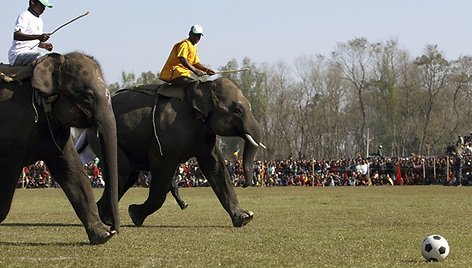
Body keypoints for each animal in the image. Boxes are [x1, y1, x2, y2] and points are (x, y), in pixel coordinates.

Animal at [0, 52, 120, 245]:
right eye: (87, 96)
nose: (113, 229)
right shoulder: (12, 129)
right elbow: (7, 174)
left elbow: (73, 170)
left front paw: (102, 236)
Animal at [82, 76, 264, 227]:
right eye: (237, 110)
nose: (244, 184)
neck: (203, 87)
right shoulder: (166, 134)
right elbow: (162, 169)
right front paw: (134, 214)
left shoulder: (204, 132)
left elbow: (215, 167)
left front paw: (245, 217)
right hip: (101, 137)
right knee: (123, 172)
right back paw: (105, 218)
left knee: (129, 176)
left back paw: (104, 218)